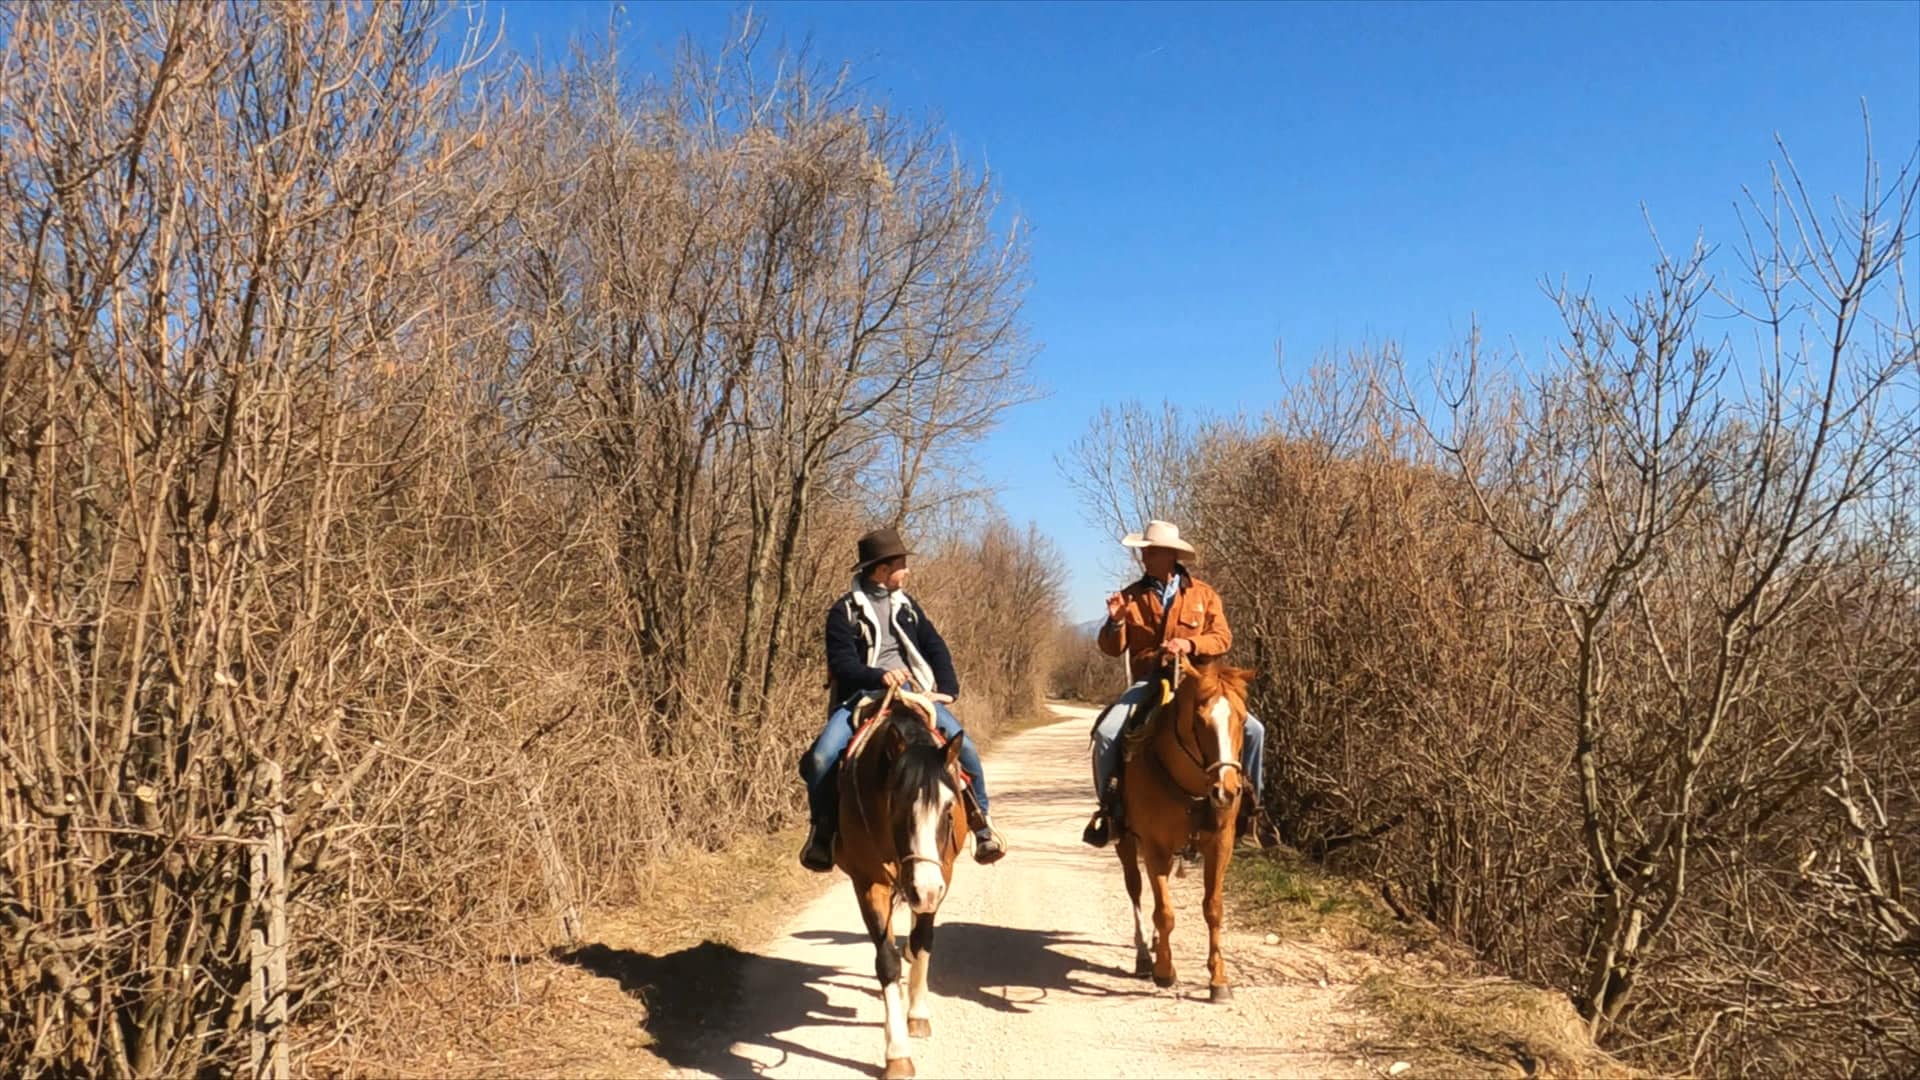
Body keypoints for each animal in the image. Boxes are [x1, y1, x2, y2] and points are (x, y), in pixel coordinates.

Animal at [833, 687, 967, 1076]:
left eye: (949, 807)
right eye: (896, 804)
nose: (925, 888)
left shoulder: (942, 874)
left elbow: (924, 941)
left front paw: (918, 1015)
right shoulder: (868, 883)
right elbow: (887, 961)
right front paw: (897, 1054)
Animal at [1113, 657, 1259, 999]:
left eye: (1242, 718)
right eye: (1199, 720)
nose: (1227, 791)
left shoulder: (1221, 844)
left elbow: (1213, 908)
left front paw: (1218, 979)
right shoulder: (1154, 846)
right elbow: (1164, 912)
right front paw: (1165, 972)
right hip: (1126, 842)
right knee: (1135, 889)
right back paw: (1144, 955)